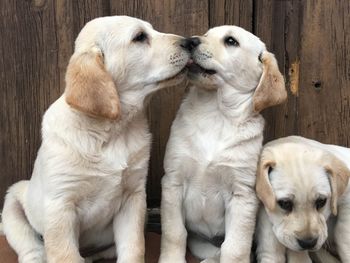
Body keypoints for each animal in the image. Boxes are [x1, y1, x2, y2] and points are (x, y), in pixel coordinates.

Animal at [2, 16, 189, 263]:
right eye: (139, 37)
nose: (190, 42)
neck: (111, 131)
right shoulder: (60, 205)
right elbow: (65, 255)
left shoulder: (133, 198)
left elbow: (133, 248)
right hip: (13, 201)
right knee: (31, 247)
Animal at [160, 25, 286, 263]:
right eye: (206, 34)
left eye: (230, 41)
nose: (191, 41)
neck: (215, 113)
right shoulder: (173, 182)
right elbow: (175, 233)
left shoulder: (242, 194)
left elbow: (235, 247)